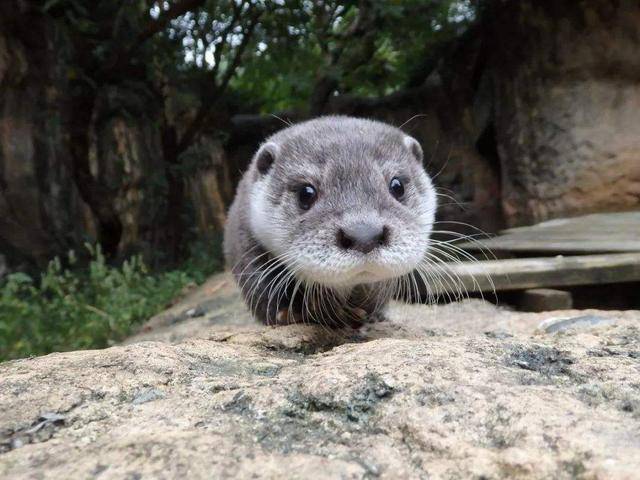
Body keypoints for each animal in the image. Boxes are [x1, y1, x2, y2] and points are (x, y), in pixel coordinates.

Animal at [222, 116, 438, 326]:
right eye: (306, 193)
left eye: (397, 186)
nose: (364, 234)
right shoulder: (244, 240)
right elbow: (260, 284)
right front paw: (291, 313)